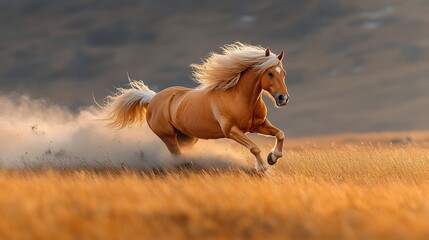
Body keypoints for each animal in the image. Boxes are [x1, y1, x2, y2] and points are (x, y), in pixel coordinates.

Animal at [103, 43, 290, 171]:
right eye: (270, 73)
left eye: (284, 73)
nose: (283, 99)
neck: (240, 98)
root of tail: (153, 98)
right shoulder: (232, 131)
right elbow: (254, 147)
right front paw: (263, 168)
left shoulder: (258, 125)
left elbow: (280, 134)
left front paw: (273, 157)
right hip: (168, 137)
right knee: (176, 155)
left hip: (187, 137)